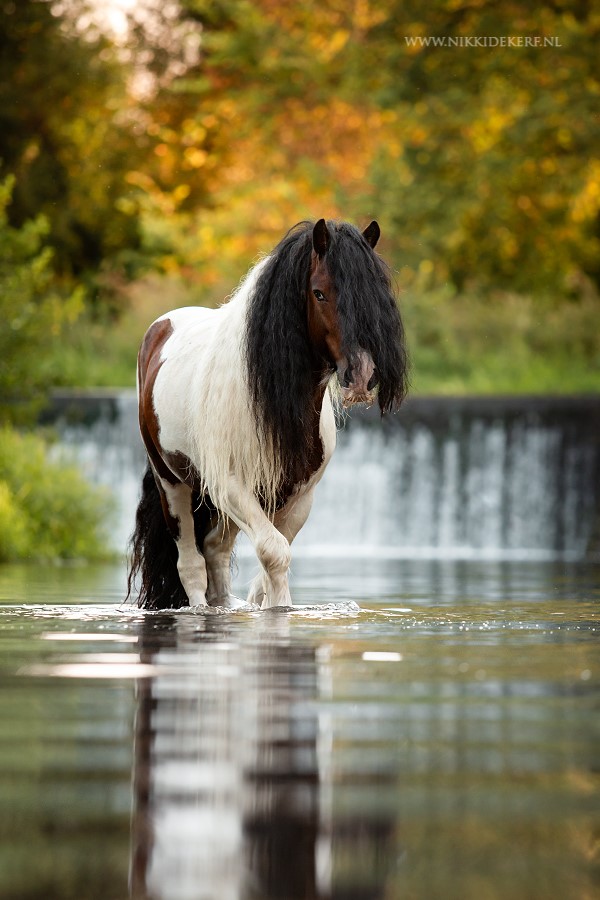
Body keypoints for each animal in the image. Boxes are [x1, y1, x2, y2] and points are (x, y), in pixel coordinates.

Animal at [126, 219, 408, 612]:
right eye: (319, 293)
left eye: (376, 294)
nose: (362, 375)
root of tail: (160, 330)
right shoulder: (232, 485)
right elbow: (274, 552)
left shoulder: (298, 495)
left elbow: (272, 561)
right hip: (173, 483)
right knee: (191, 565)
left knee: (214, 549)